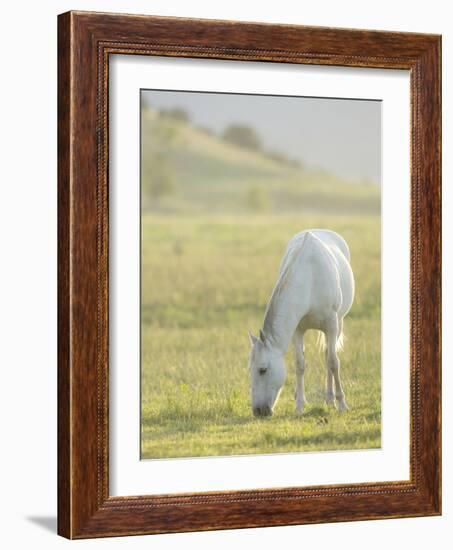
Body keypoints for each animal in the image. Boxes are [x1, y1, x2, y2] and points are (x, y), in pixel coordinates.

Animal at [247, 230, 354, 418]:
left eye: (262, 370)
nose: (258, 411)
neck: (309, 277)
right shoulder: (297, 330)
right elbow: (299, 364)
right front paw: (299, 406)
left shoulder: (332, 325)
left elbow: (333, 362)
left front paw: (342, 404)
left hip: (337, 324)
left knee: (328, 356)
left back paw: (330, 399)